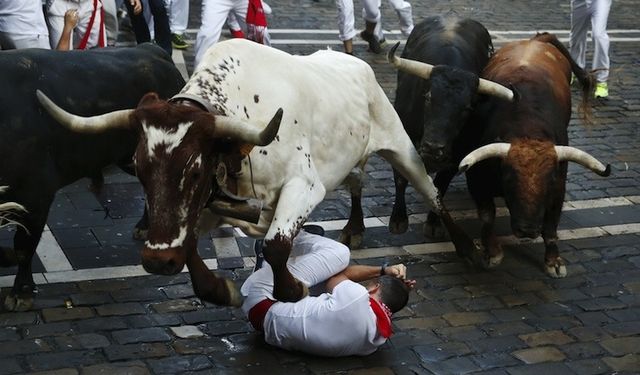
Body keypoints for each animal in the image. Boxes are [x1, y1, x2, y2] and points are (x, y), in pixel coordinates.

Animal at [36, 39, 476, 308]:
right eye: (139, 169)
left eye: (194, 170)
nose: (158, 262)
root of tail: (354, 62)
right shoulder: (210, 205)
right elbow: (193, 244)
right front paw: (220, 289)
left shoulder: (304, 186)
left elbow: (277, 245)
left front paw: (293, 286)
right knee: (357, 181)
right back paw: (352, 228)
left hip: (402, 146)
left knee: (430, 190)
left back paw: (466, 246)